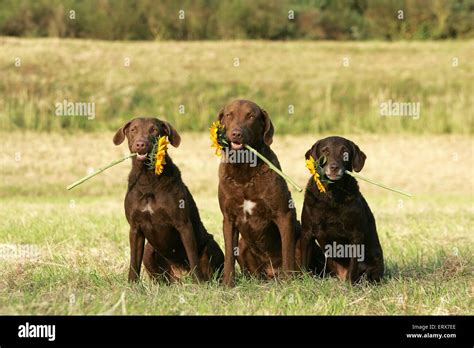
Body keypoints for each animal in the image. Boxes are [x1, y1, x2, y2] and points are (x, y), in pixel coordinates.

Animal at [115, 117, 226, 282]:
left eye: (154, 130)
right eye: (133, 129)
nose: (140, 144)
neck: (148, 178)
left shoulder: (183, 225)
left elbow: (193, 258)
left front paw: (199, 283)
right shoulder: (135, 228)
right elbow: (134, 263)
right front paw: (132, 285)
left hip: (211, 245)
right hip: (149, 251)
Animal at [217, 100, 324, 286]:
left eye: (251, 116)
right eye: (229, 114)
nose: (236, 133)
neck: (244, 172)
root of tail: (271, 272)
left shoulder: (284, 214)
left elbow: (287, 253)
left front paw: (289, 284)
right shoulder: (228, 219)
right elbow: (229, 256)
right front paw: (227, 284)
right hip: (244, 245)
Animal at [302, 135, 384, 282]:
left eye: (344, 152)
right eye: (325, 151)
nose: (334, 167)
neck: (331, 195)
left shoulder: (356, 236)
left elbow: (353, 268)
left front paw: (350, 284)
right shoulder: (307, 232)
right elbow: (304, 264)